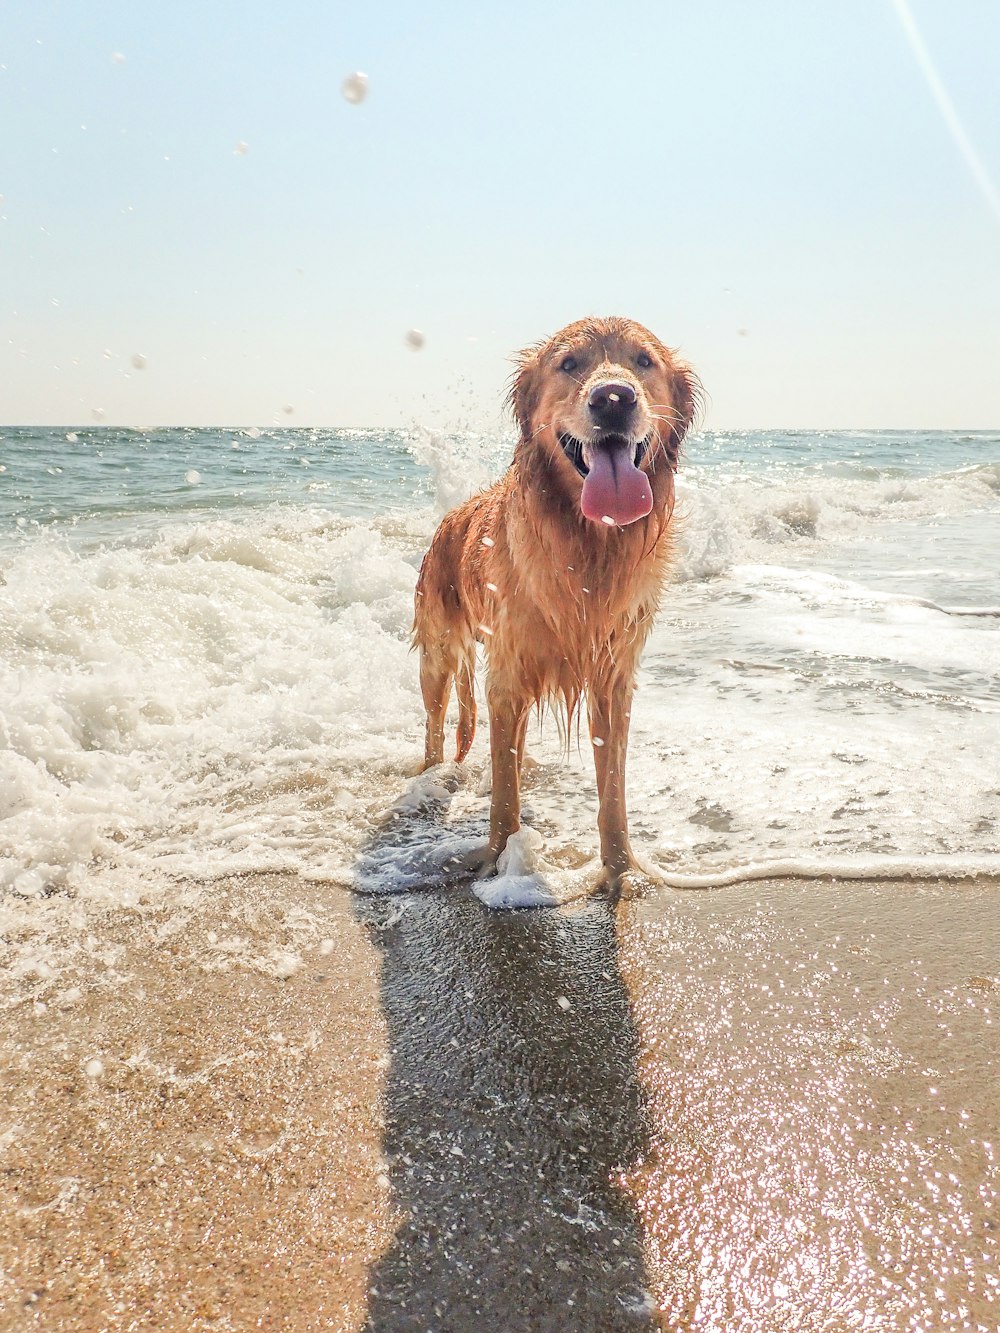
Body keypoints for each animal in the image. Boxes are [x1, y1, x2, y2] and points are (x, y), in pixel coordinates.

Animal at [410, 317, 698, 890]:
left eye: (644, 361)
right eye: (569, 364)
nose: (614, 398)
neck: (588, 545)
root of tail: (449, 518)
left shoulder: (613, 676)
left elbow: (612, 791)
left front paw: (620, 869)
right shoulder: (508, 673)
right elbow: (504, 793)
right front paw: (497, 858)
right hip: (439, 651)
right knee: (435, 722)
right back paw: (432, 780)